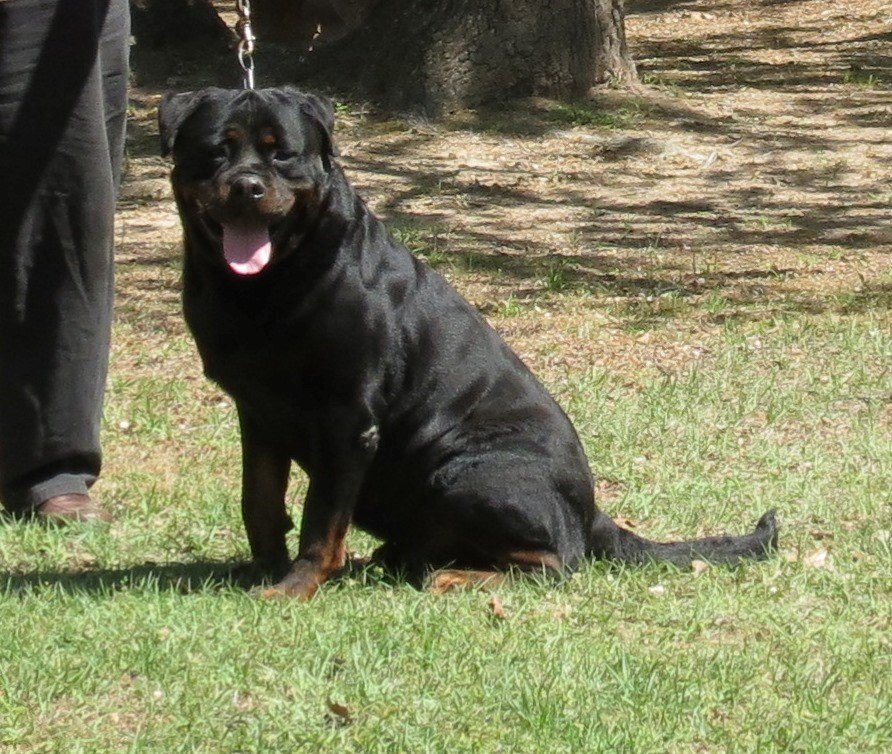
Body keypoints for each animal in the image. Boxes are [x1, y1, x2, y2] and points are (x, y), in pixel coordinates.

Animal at [159, 87, 778, 599]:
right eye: (217, 152)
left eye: (281, 154)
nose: (247, 185)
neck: (267, 287)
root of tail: (589, 510)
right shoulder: (257, 410)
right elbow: (259, 501)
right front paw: (260, 569)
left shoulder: (347, 417)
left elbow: (321, 520)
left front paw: (294, 586)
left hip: (463, 472)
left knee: (558, 563)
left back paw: (455, 575)